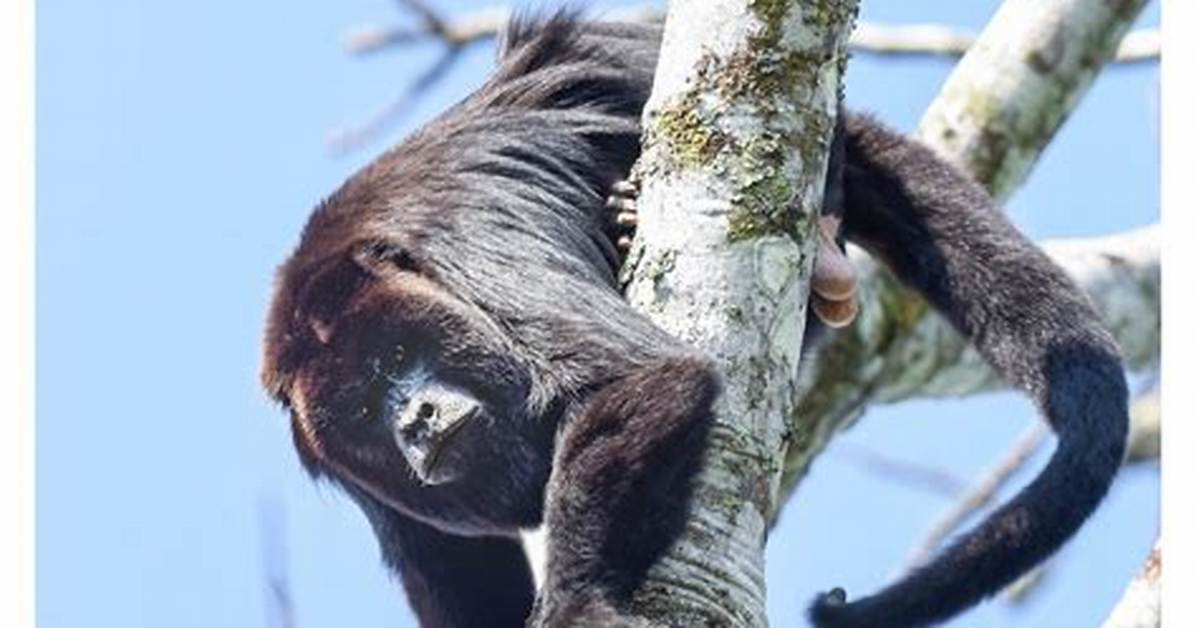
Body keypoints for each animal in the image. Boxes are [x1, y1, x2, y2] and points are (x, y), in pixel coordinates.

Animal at [260, 13, 1129, 628]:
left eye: (394, 354)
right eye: (360, 410)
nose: (412, 418)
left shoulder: (469, 250)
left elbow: (637, 377)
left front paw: (576, 602)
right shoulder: (344, 471)